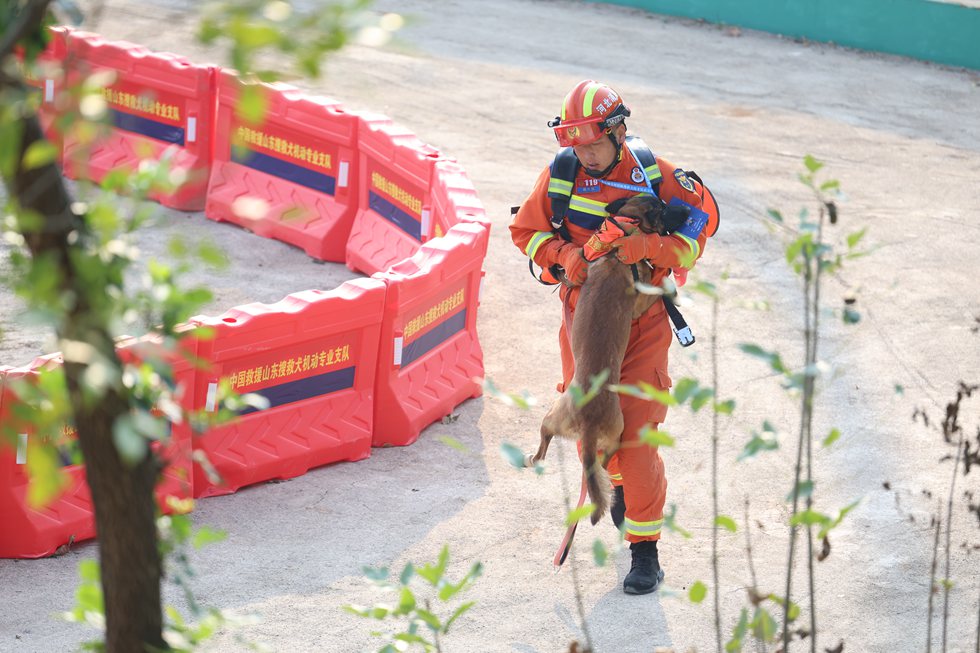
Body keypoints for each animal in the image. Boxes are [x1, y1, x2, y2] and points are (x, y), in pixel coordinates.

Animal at [528, 194, 672, 524]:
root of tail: (590, 422)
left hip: (558, 416)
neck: (617, 245)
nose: (676, 210)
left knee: (560, 447)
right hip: (601, 432)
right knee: (596, 463)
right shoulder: (640, 300)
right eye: (660, 208)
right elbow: (655, 288)